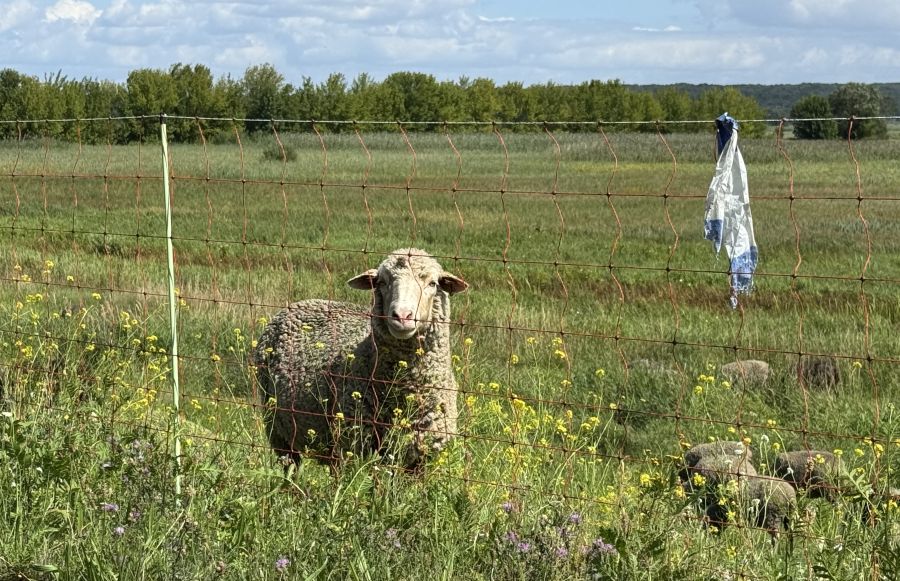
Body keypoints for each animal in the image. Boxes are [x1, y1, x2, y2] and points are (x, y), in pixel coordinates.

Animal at [253, 248, 468, 469]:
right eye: (382, 282)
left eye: (432, 283)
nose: (402, 316)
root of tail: (299, 303)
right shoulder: (357, 448)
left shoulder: (424, 458)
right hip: (277, 429)